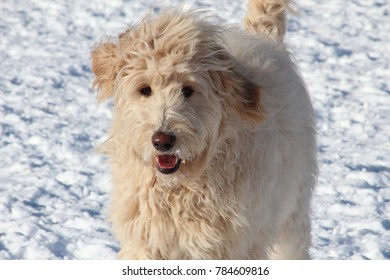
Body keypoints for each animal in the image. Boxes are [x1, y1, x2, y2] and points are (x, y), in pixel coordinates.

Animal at [90, 0, 316, 260]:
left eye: (188, 90)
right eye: (144, 89)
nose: (162, 140)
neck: (180, 188)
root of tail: (263, 36)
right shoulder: (147, 239)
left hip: (294, 209)